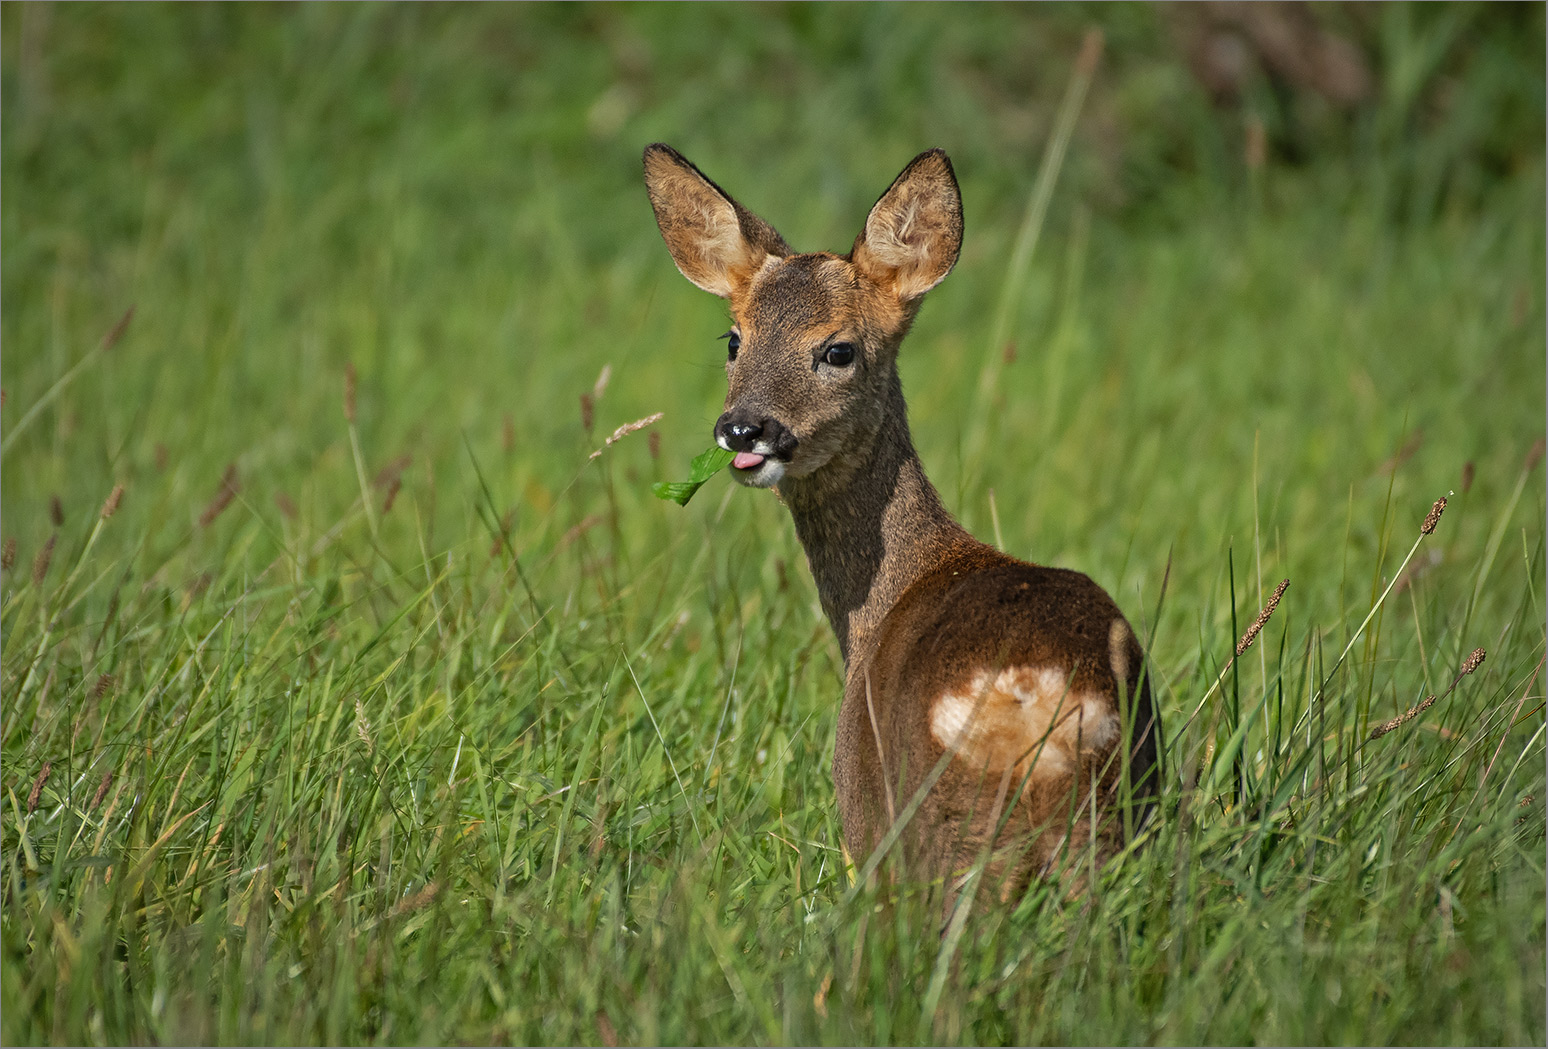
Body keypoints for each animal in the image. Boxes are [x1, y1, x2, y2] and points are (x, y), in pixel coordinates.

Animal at [640, 143, 1164, 909]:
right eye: (733, 338)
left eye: (838, 350)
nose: (744, 427)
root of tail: (1043, 698)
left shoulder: (860, 809)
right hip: (1122, 815)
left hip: (932, 835)